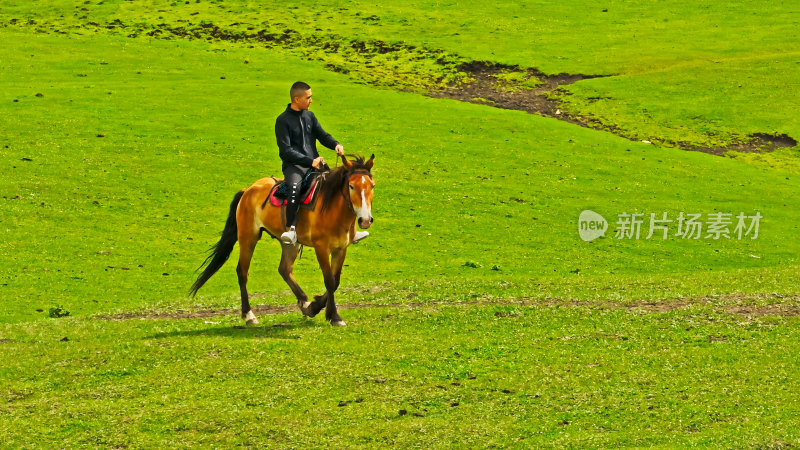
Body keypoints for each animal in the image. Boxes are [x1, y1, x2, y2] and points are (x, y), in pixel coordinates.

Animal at [191, 156, 376, 326]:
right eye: (351, 186)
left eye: (372, 186)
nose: (365, 220)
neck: (332, 209)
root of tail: (248, 189)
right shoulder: (321, 248)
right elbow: (329, 281)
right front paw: (334, 316)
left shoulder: (341, 248)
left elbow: (335, 281)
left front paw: (317, 307)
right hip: (248, 237)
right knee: (242, 272)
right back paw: (249, 315)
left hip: (290, 243)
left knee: (284, 269)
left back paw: (305, 303)